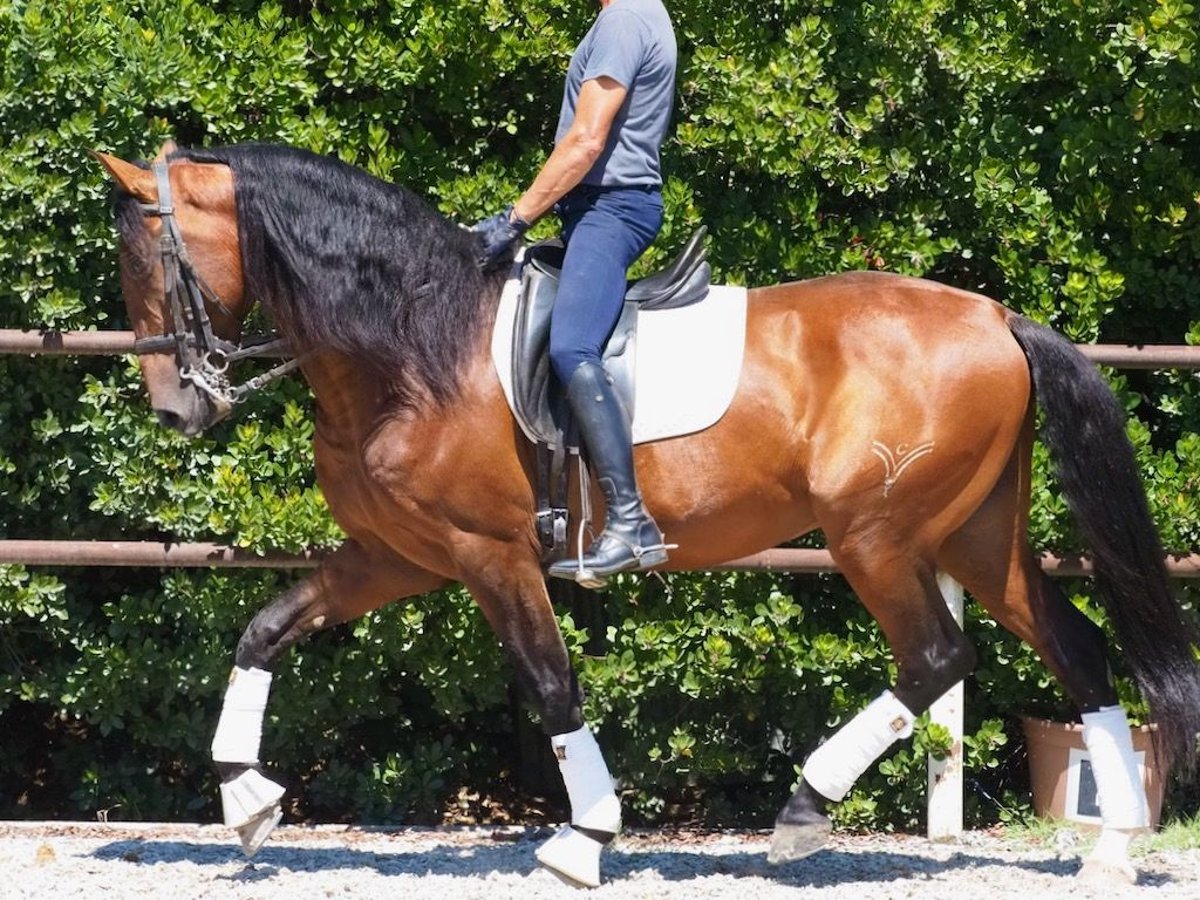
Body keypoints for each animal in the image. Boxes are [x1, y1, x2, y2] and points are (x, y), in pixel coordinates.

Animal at [100, 144, 1200, 892]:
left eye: (154, 265)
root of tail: (994, 316)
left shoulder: (491, 556)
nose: (177, 407)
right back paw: (1113, 847)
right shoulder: (398, 555)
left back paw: (803, 809)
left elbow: (551, 684)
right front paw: (245, 798)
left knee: (937, 656)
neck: (412, 346)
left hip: (877, 536)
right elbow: (265, 628)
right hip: (970, 534)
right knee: (1075, 649)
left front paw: (583, 839)